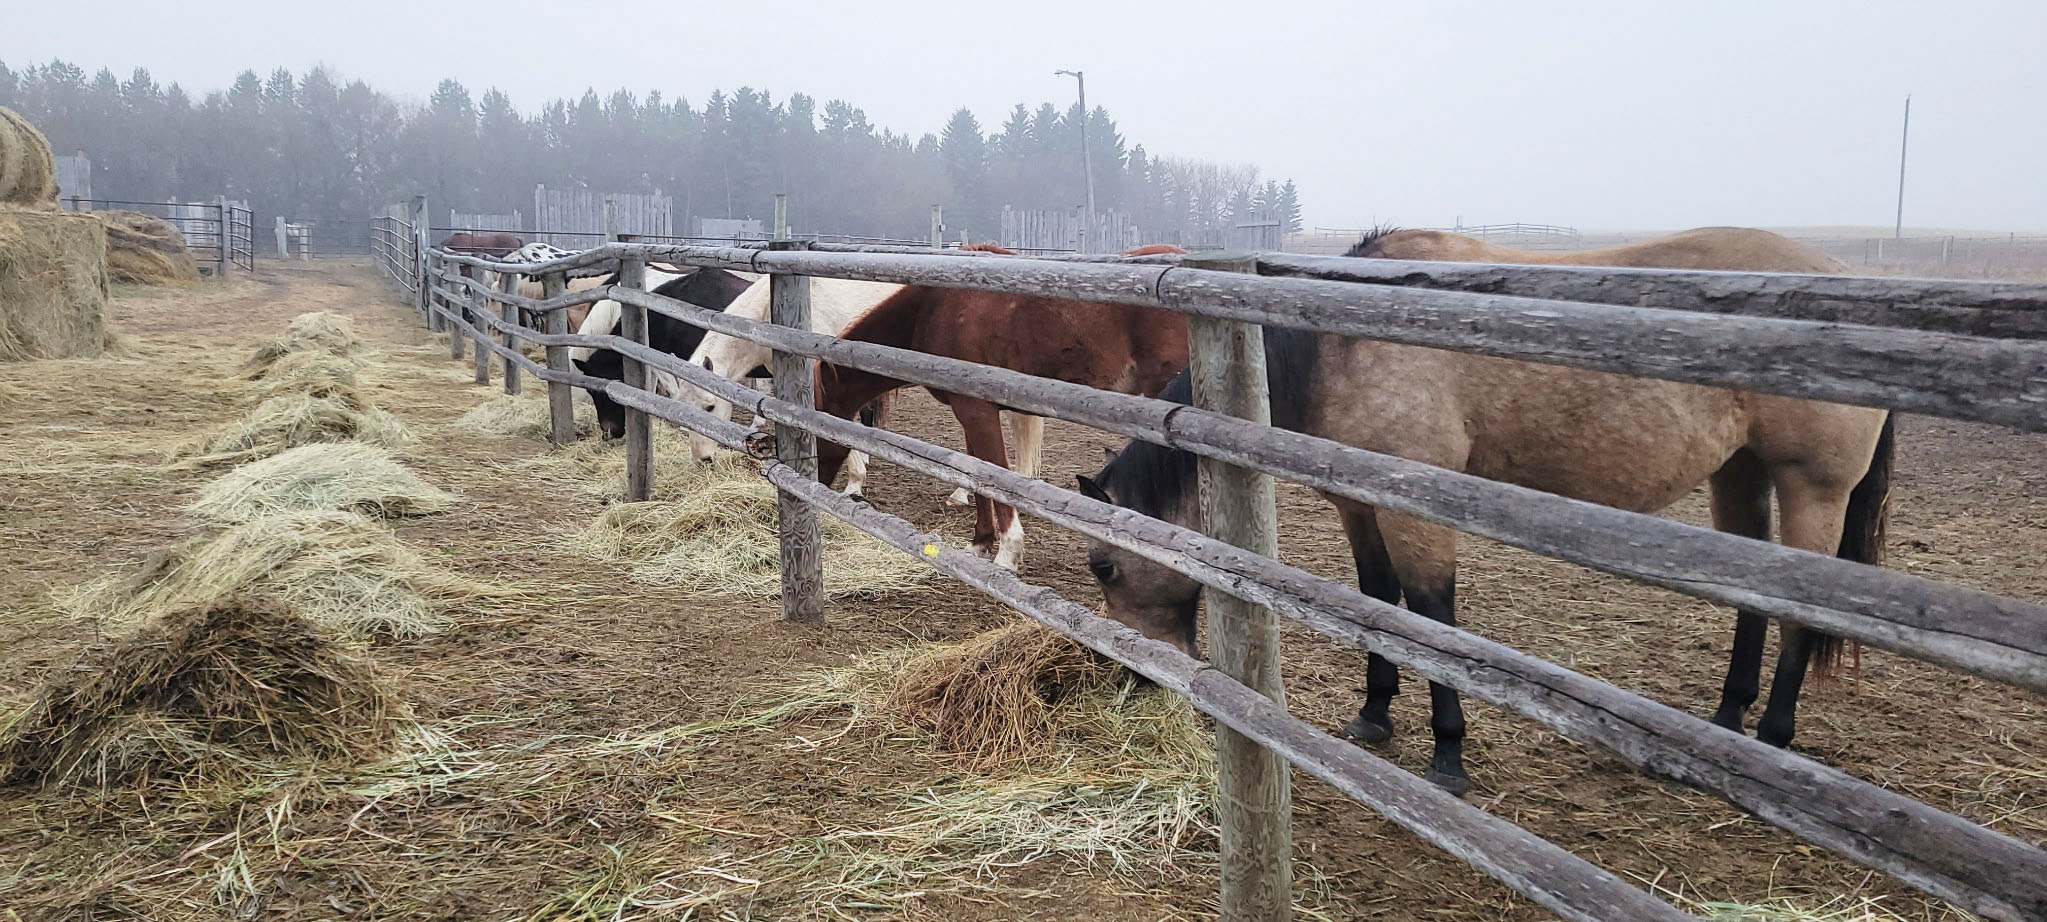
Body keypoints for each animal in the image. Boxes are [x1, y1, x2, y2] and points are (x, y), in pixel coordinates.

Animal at [811, 244, 1192, 569]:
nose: (815, 482)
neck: (937, 309)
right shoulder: (969, 413)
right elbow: (976, 472)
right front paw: (979, 543)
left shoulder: (977, 412)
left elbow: (994, 474)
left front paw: (1008, 554)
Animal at [1076, 226, 1894, 795]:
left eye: (1104, 566)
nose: (1123, 672)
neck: (1344, 344)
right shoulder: (1360, 508)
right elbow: (1378, 603)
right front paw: (1375, 715)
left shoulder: (1416, 512)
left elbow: (1430, 617)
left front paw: (1447, 754)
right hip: (1738, 475)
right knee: (1755, 598)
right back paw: (1728, 725)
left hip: (1812, 487)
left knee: (1801, 614)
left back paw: (1774, 736)